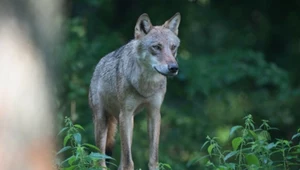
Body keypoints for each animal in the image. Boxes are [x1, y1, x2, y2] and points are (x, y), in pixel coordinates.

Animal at [88, 12, 182, 169]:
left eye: (173, 47)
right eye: (156, 47)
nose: (174, 68)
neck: (146, 86)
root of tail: (99, 64)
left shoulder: (154, 113)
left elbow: (153, 158)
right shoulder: (125, 114)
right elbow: (128, 161)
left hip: (128, 122)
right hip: (104, 120)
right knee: (100, 159)